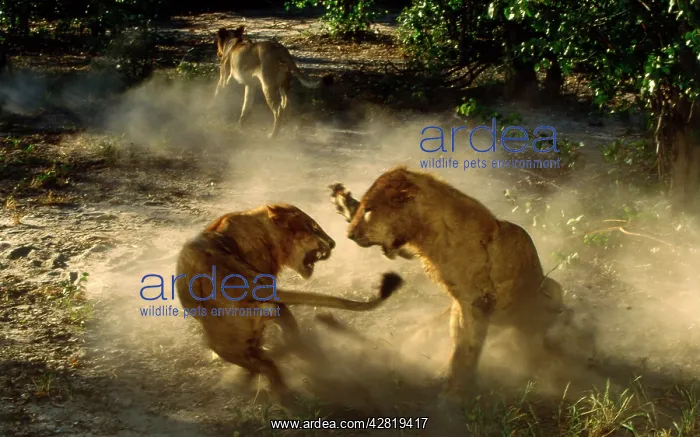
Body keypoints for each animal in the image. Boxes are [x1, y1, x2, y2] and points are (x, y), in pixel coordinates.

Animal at [175, 203, 402, 405]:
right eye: (313, 228)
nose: (333, 243)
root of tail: (231, 270)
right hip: (276, 311)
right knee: (293, 341)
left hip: (224, 342)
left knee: (268, 364)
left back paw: (273, 392)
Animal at [328, 167, 577, 399]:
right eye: (363, 208)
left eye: (370, 210)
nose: (350, 235)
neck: (431, 233)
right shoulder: (459, 301)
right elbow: (459, 347)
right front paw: (343, 201)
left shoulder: (479, 302)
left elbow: (468, 350)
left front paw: (454, 395)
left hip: (550, 289)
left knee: (534, 333)